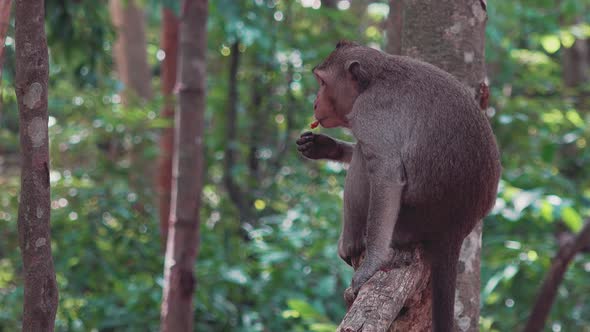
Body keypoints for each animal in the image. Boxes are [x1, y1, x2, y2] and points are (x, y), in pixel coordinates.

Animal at [298, 42, 502, 332]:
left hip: (411, 222)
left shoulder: (369, 114)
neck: (374, 79)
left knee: (365, 160)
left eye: (323, 82)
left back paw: (351, 243)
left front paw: (372, 264)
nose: (315, 103)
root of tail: (455, 227)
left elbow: (386, 173)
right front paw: (323, 146)